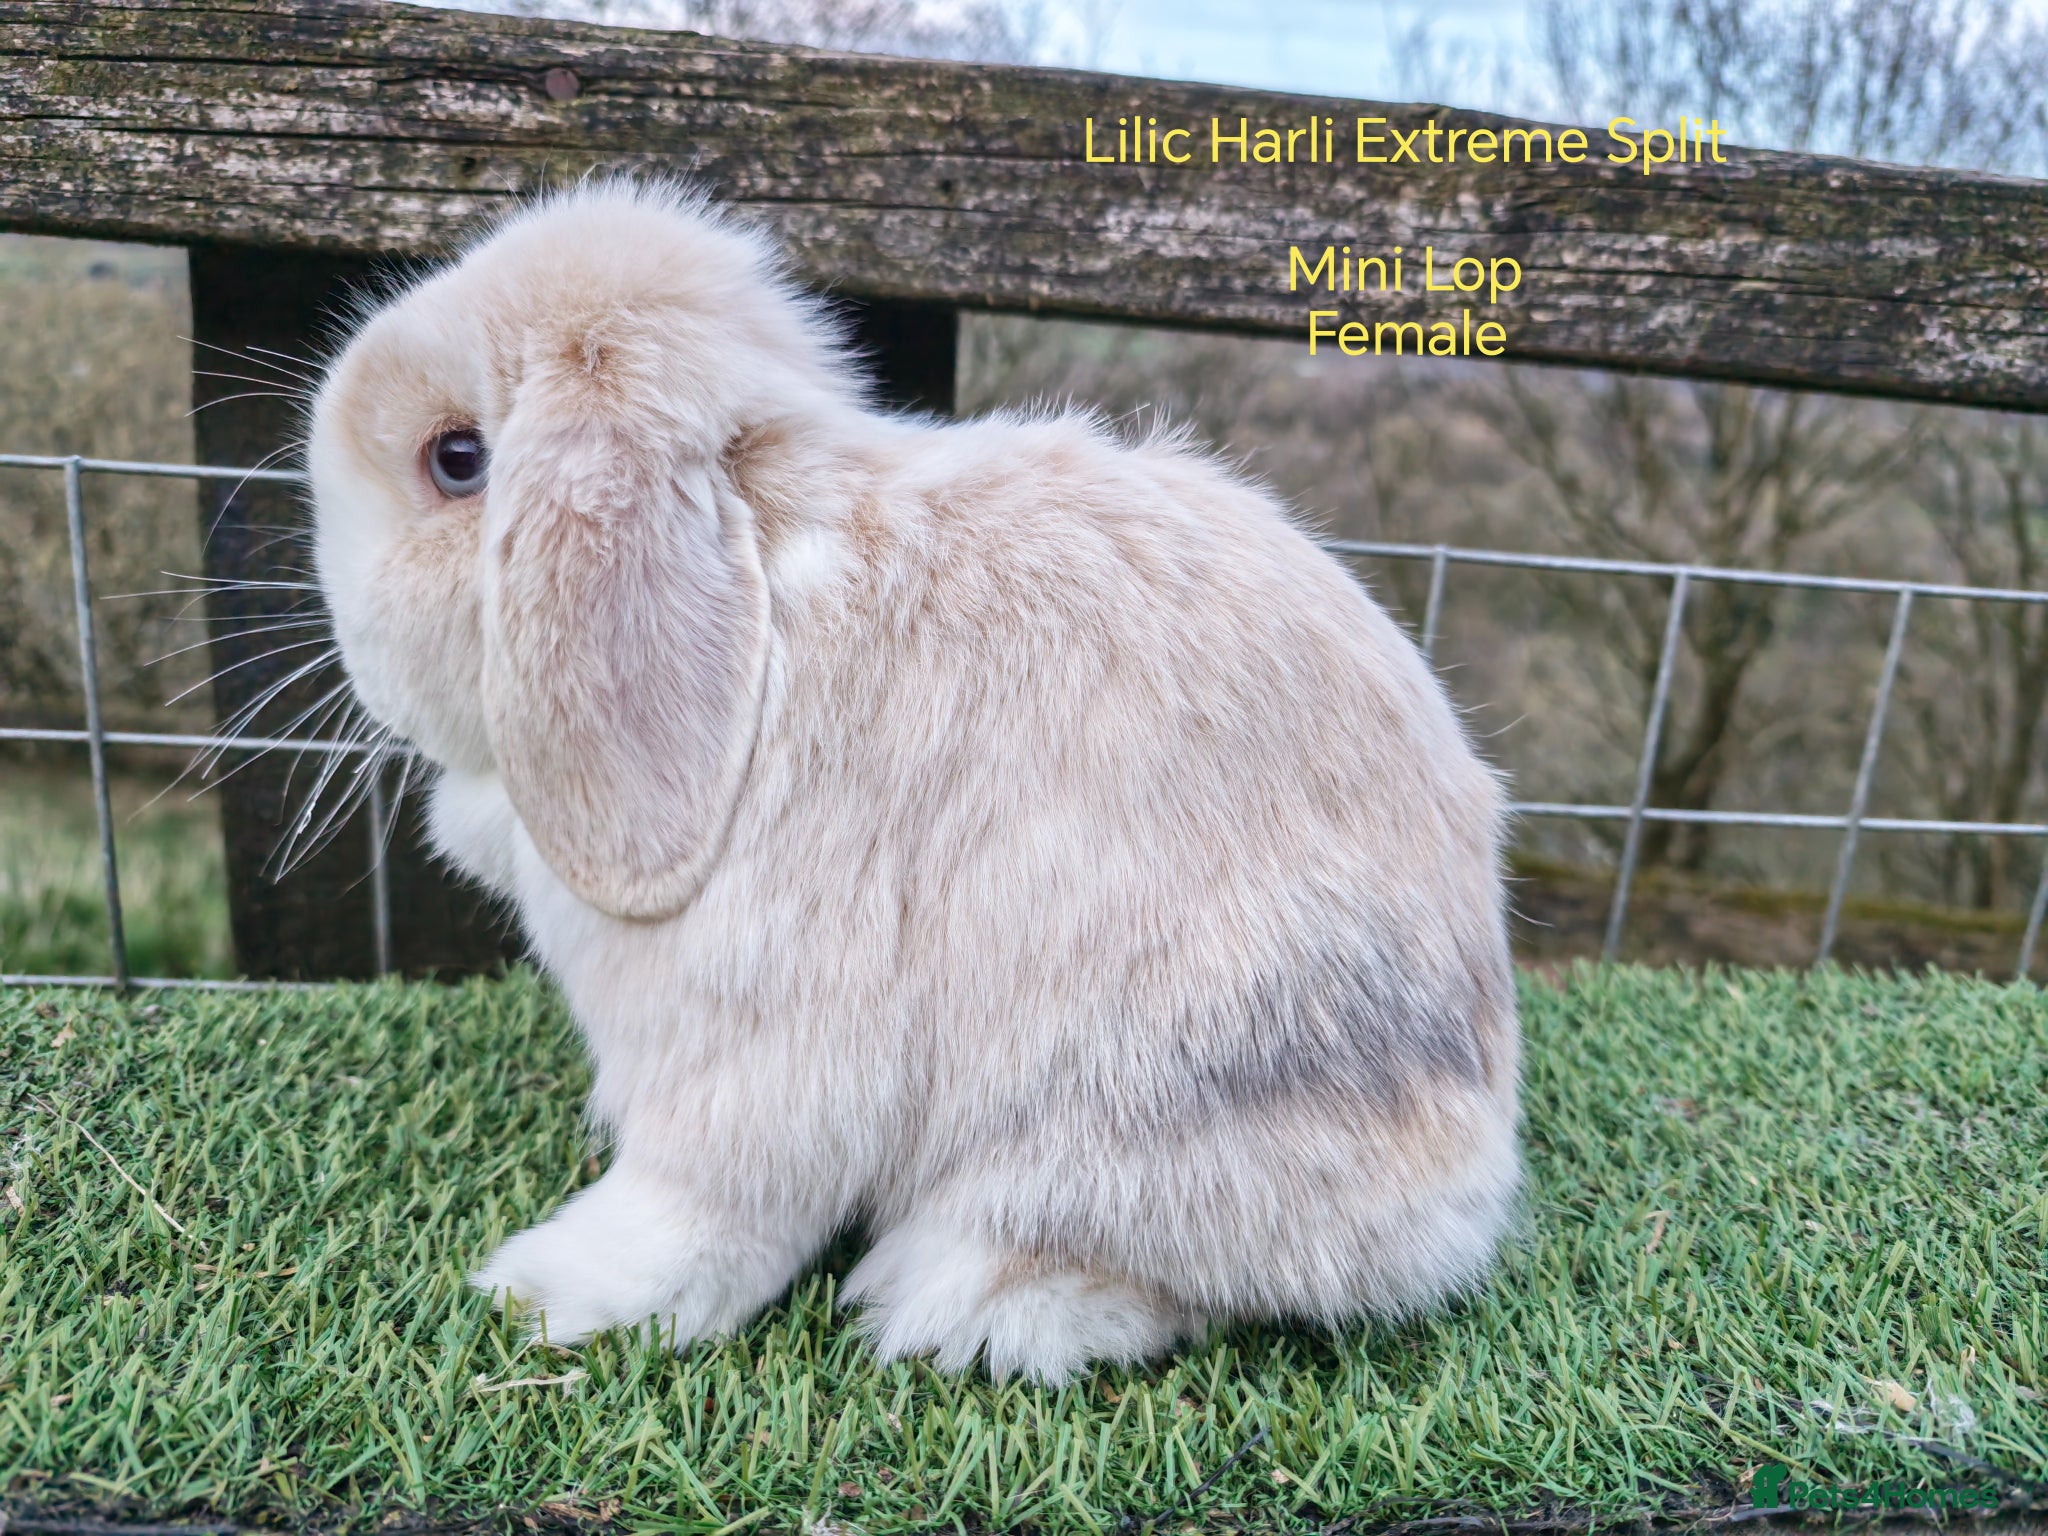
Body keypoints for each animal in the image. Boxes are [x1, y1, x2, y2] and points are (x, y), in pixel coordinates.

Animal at [306, 179, 1521, 1384]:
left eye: (457, 460)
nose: (351, 640)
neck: (763, 600)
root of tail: (1465, 1191)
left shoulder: (749, 1045)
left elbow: (699, 1208)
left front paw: (550, 1294)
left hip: (1141, 1099)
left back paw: (973, 1305)